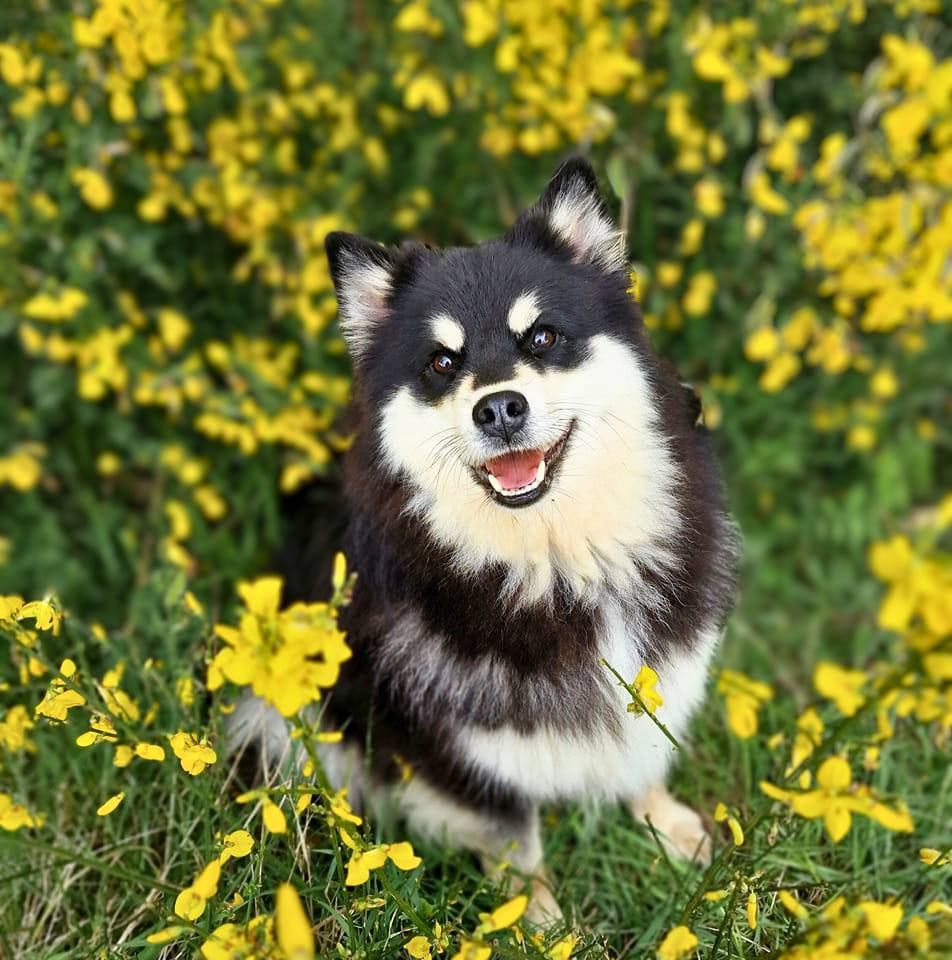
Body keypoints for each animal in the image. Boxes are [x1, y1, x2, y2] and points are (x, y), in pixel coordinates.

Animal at [231, 158, 736, 924]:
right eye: (441, 363)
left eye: (542, 338)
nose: (498, 408)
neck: (555, 564)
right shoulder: (455, 749)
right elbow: (515, 840)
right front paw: (536, 924)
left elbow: (644, 748)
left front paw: (669, 826)